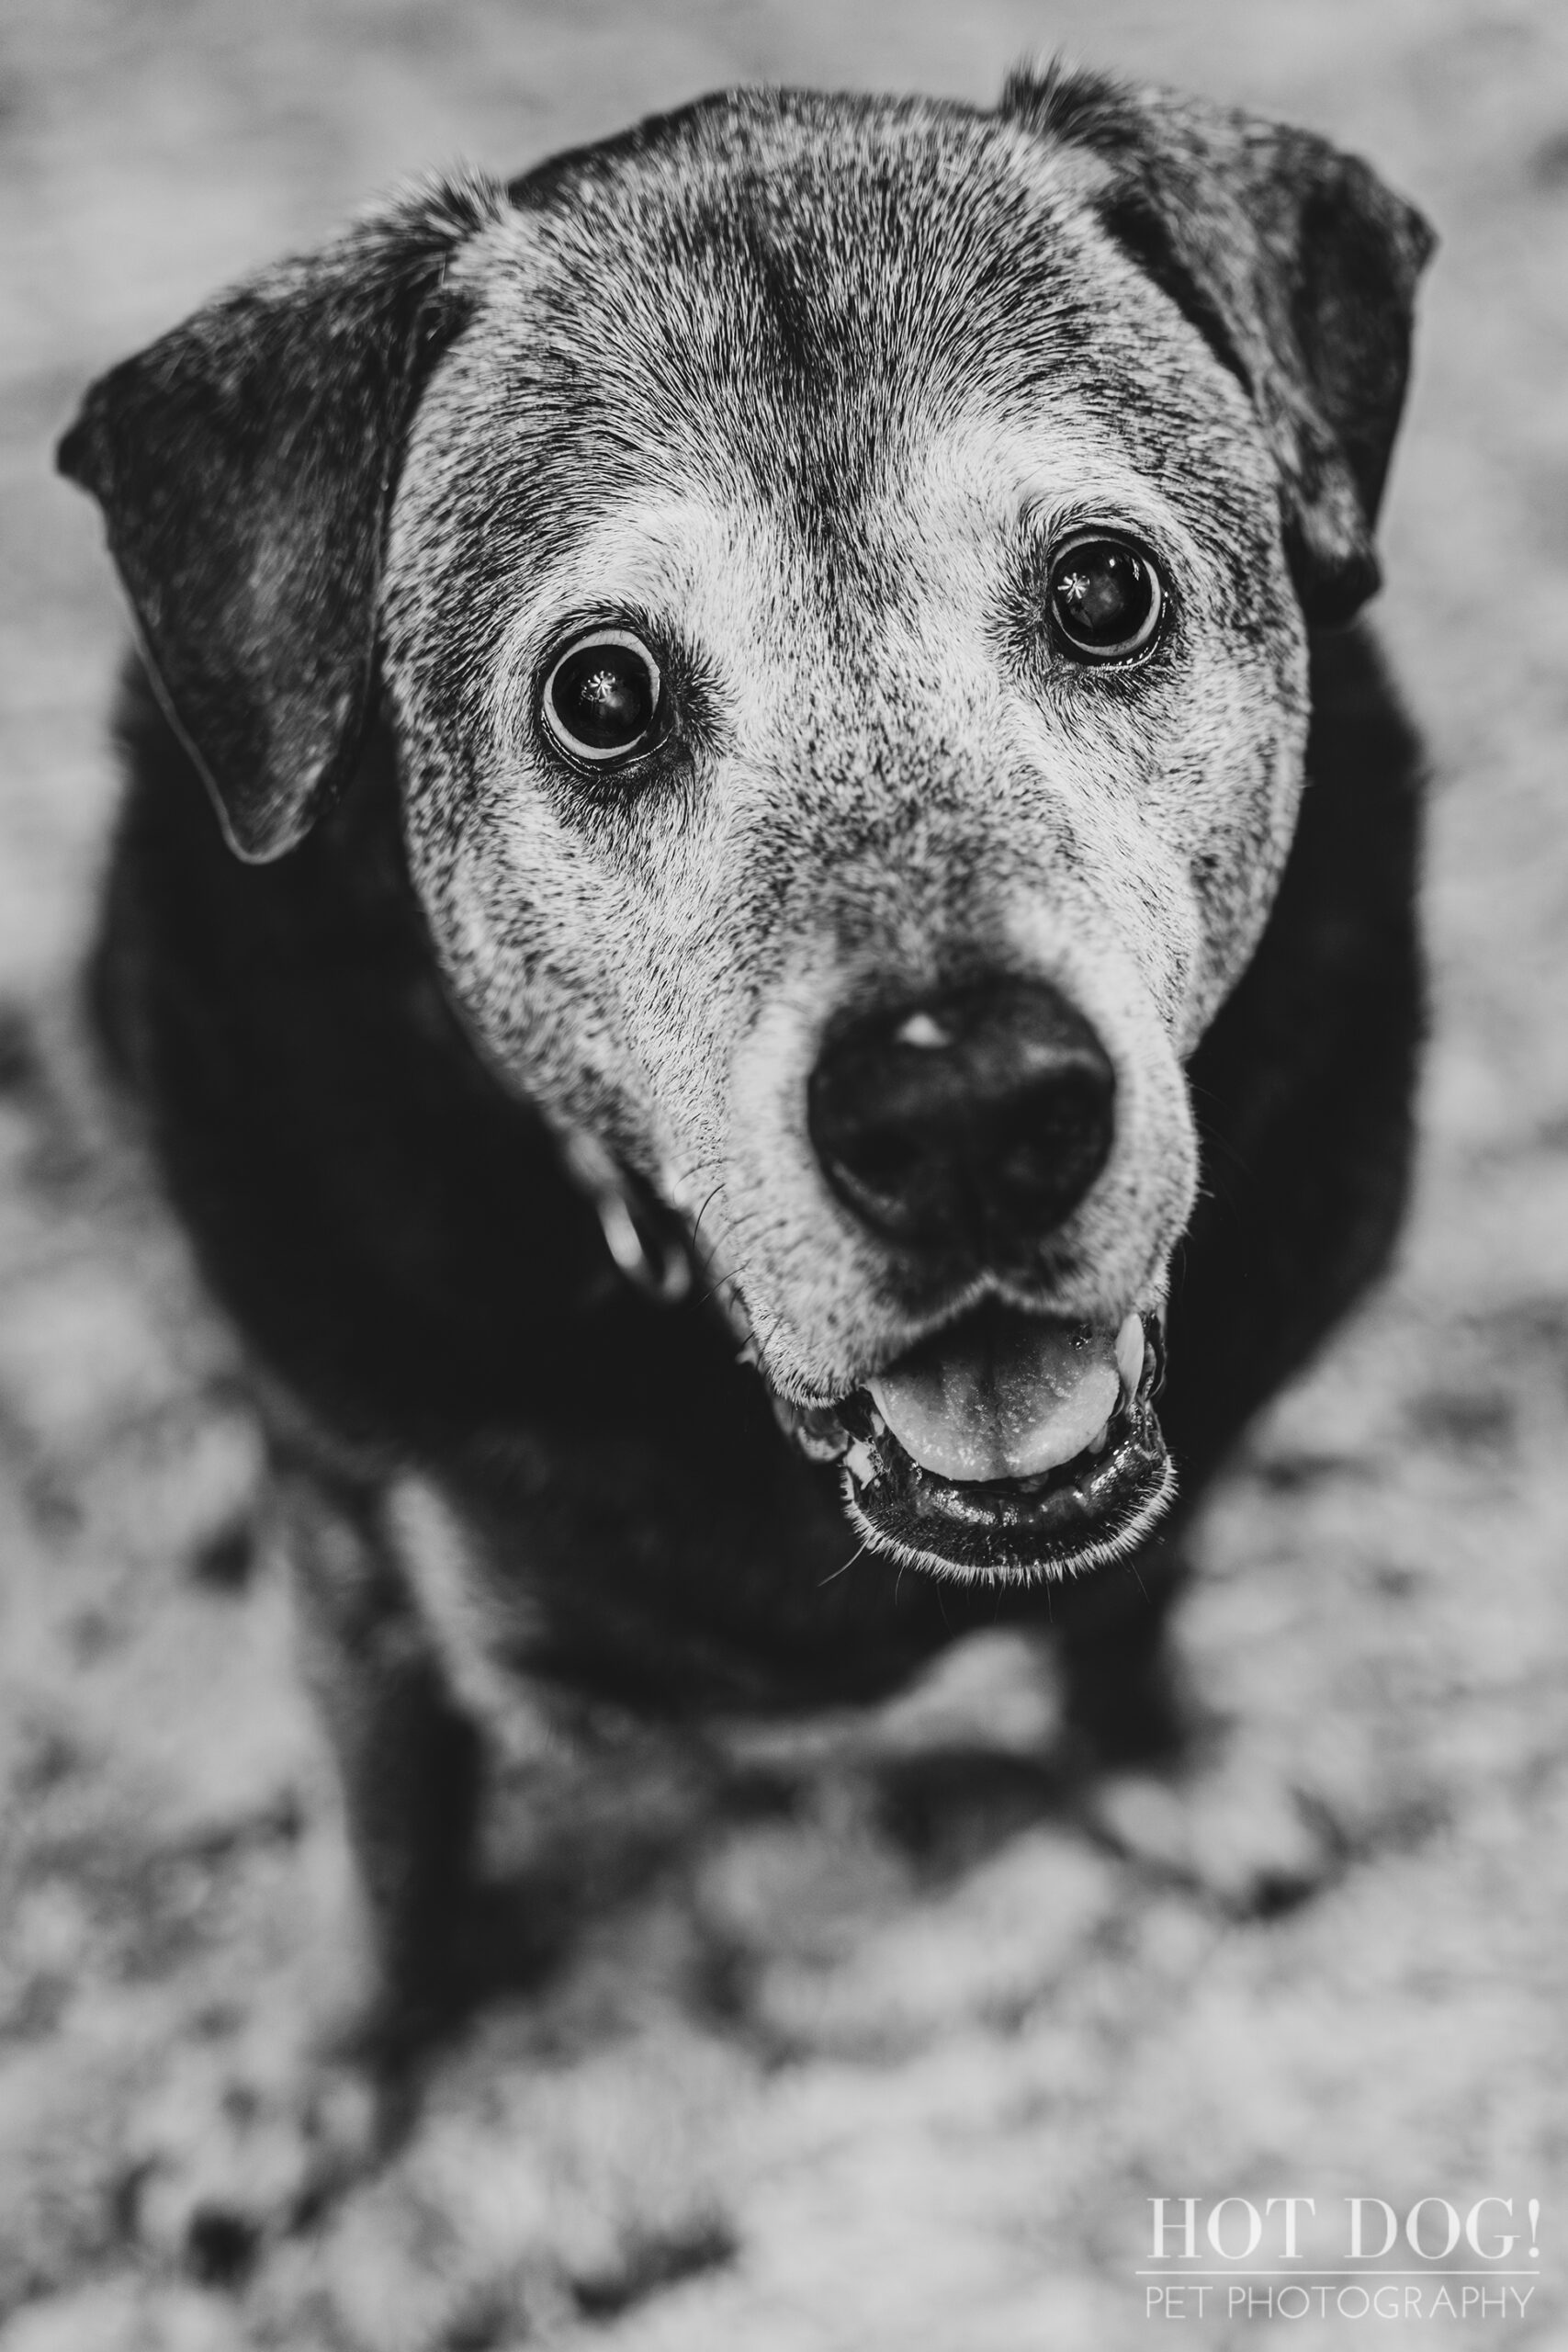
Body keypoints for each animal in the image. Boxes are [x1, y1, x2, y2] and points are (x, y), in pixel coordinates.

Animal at [61, 55, 1438, 2041]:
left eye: (1104, 591)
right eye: (602, 693)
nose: (964, 1114)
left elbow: (1133, 1596)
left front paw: (1158, 1761)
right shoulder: (350, 1503)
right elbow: (387, 1800)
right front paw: (333, 2054)